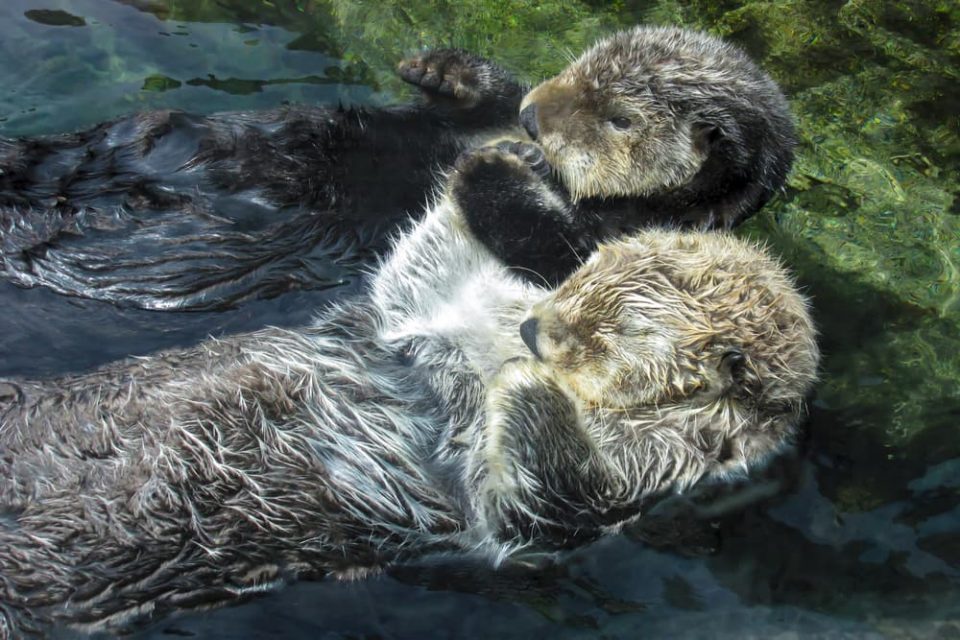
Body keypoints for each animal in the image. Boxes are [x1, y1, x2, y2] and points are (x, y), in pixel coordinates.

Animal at [0, 26, 796, 312]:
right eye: (578, 64)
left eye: (621, 119)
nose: (534, 122)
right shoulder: (483, 109)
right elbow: (483, 92)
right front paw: (437, 69)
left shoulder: (635, 241)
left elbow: (553, 254)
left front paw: (495, 164)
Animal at [0, 136, 816, 636]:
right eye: (581, 278)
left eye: (611, 334)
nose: (533, 334)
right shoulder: (418, 320)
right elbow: (417, 275)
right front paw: (505, 162)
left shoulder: (654, 469)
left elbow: (544, 504)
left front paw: (530, 384)